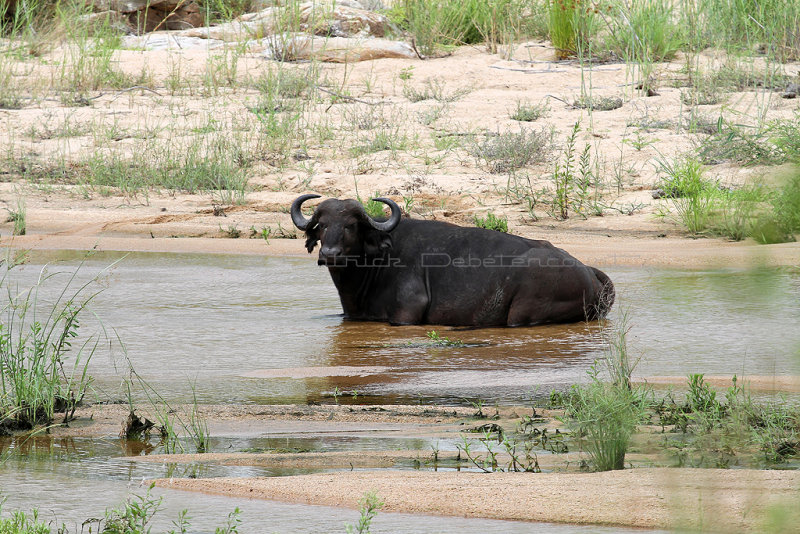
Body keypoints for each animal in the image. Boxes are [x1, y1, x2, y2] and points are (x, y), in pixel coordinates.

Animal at [290, 195, 616, 328]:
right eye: (322, 225)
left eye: (350, 226)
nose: (330, 254)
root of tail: (588, 272)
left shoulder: (406, 313)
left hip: (524, 311)